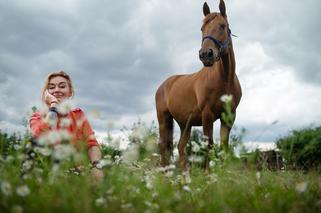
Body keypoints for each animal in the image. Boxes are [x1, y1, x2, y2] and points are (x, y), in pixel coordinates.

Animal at [154, 0, 240, 170]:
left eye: (222, 25)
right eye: (202, 28)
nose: (205, 54)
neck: (225, 81)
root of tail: (164, 84)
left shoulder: (229, 117)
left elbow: (224, 146)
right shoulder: (207, 115)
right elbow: (209, 145)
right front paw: (208, 173)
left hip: (185, 125)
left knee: (180, 146)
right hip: (164, 120)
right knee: (163, 146)